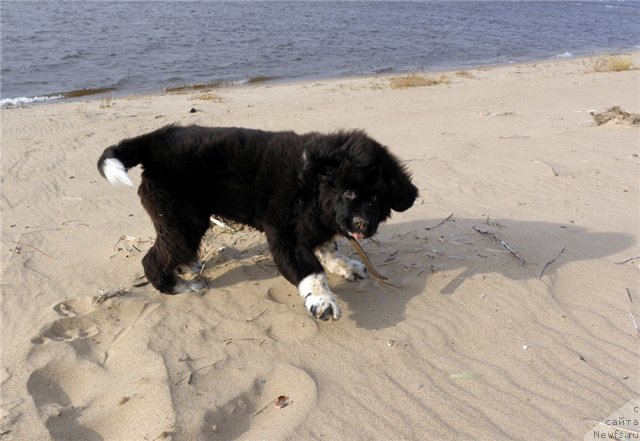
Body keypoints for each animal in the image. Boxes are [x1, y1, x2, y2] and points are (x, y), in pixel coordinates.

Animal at [97, 124, 418, 320]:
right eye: (349, 191)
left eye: (377, 198)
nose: (363, 225)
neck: (313, 186)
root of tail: (155, 142)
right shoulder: (285, 235)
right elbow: (309, 270)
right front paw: (322, 300)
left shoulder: (317, 225)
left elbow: (327, 248)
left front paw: (345, 265)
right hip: (182, 220)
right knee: (153, 259)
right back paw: (180, 286)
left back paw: (187, 267)